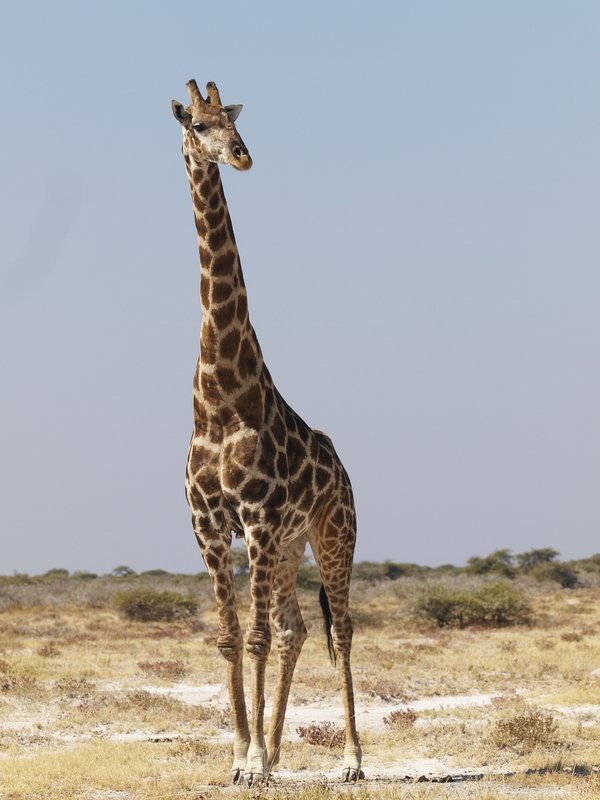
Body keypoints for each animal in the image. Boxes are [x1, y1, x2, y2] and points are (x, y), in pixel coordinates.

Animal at [171, 79, 363, 786]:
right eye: (197, 125)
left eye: (231, 121)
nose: (241, 155)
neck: (223, 398)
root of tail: (344, 471)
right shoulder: (208, 525)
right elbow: (232, 637)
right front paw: (241, 756)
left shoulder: (254, 519)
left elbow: (250, 638)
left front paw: (252, 761)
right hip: (287, 547)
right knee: (296, 628)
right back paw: (279, 750)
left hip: (332, 535)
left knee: (341, 628)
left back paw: (351, 760)